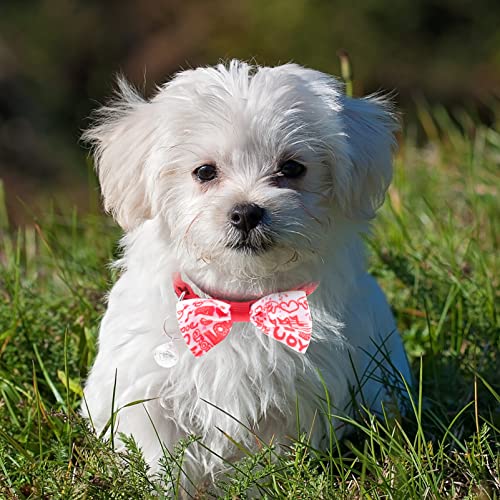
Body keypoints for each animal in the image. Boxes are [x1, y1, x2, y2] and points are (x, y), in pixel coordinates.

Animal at [81, 60, 410, 490]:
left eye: (292, 168)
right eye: (204, 172)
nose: (246, 212)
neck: (238, 301)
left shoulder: (295, 399)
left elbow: (267, 461)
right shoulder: (147, 389)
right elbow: (159, 457)